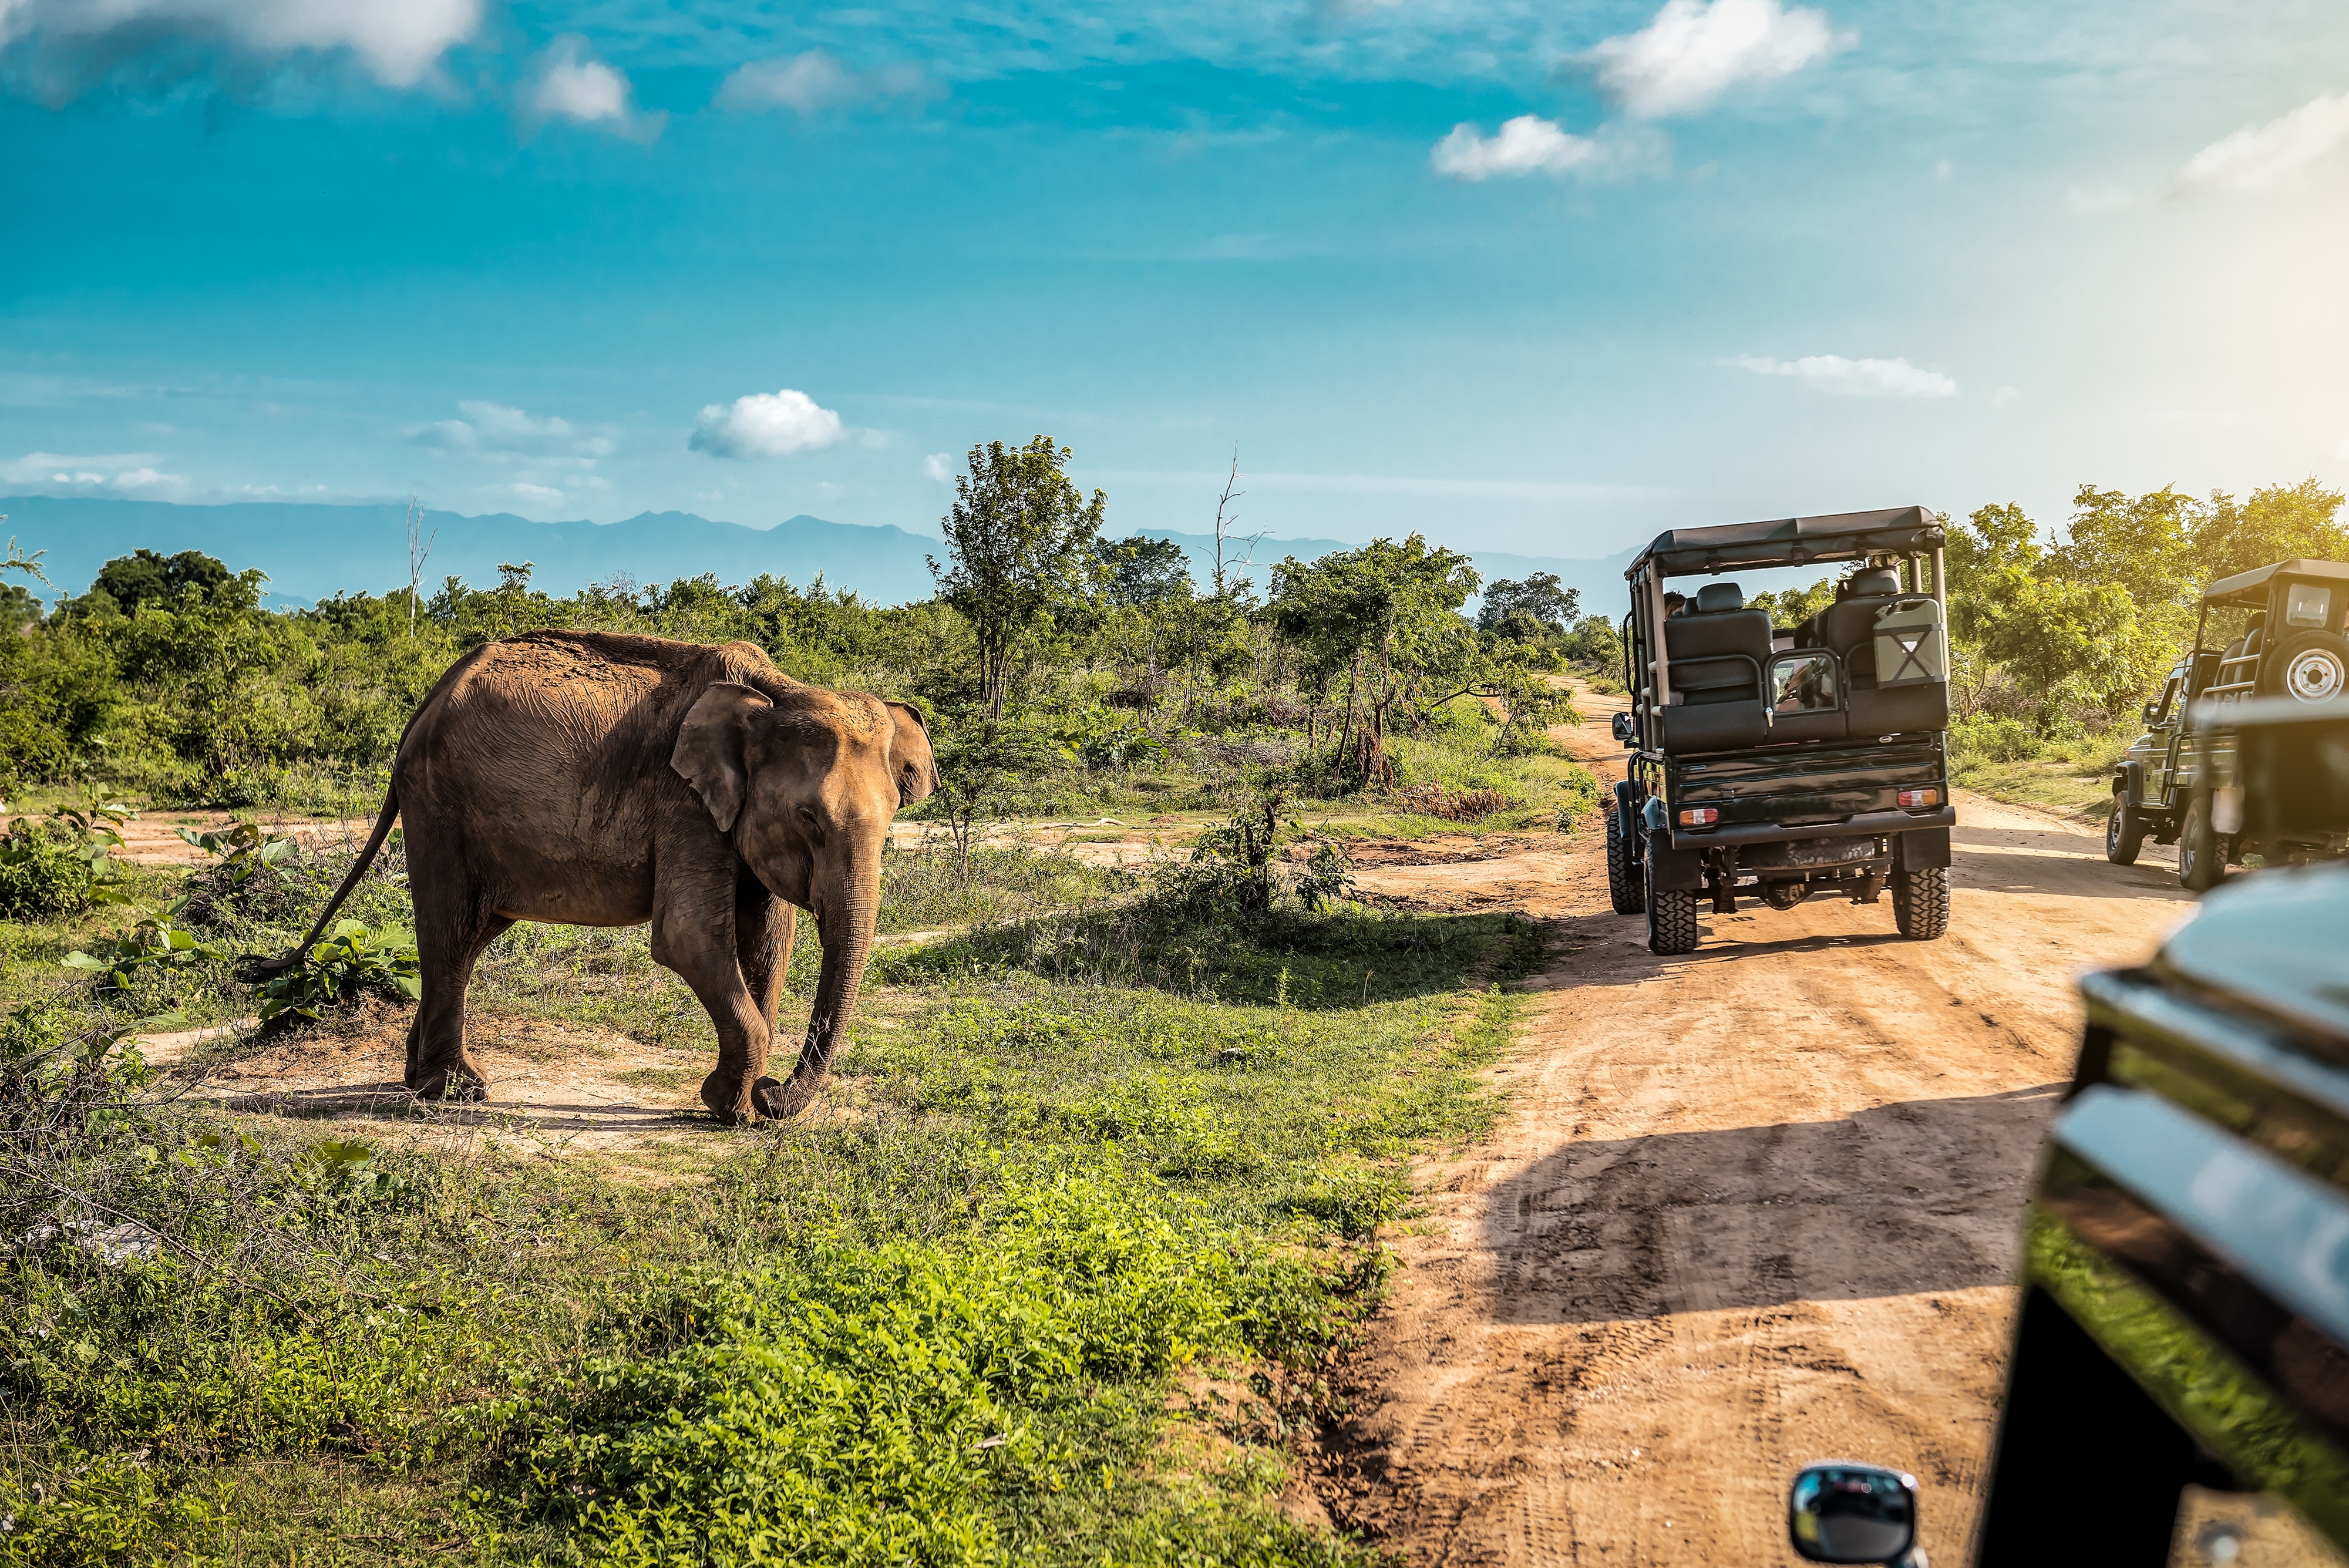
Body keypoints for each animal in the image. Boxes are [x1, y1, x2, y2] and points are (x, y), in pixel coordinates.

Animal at [270, 629, 937, 1122]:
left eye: (893, 819)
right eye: (809, 819)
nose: (777, 1094)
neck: (775, 691)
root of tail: (423, 707)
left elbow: (771, 941)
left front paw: (744, 1107)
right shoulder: (684, 804)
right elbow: (688, 938)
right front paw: (732, 1107)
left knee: (473, 934)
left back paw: (425, 1079)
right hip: (437, 804)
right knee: (451, 929)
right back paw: (453, 1092)